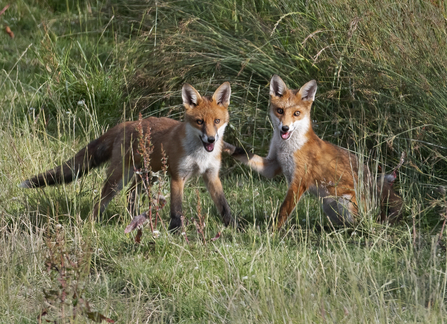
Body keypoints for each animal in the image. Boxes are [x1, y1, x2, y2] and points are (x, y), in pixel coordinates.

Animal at [21, 82, 236, 232]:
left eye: (217, 121)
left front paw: (234, 227)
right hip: (119, 178)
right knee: (101, 201)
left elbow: (224, 206)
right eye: (199, 122)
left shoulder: (211, 175)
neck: (199, 154)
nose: (211, 139)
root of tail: (126, 124)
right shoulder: (178, 176)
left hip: (147, 176)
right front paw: (176, 233)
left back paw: (134, 220)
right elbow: (176, 211)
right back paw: (92, 223)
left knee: (130, 196)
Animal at [226, 75, 404, 229]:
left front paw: (272, 232)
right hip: (328, 205)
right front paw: (226, 147)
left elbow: (283, 212)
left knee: (361, 226)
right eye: (280, 111)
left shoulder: (299, 182)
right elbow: (244, 153)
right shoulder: (272, 165)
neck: (288, 147)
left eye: (296, 114)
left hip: (345, 203)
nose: (285, 128)